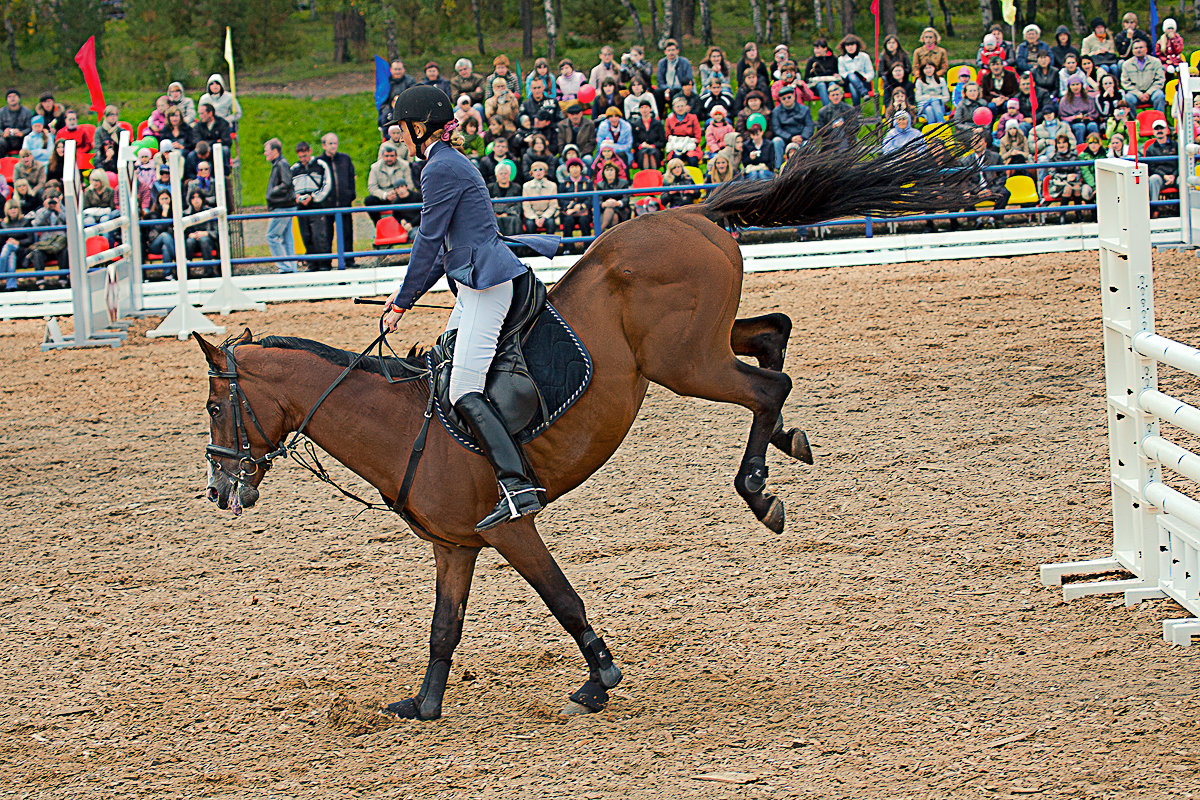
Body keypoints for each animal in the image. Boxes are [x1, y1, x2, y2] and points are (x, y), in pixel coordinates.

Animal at [196, 134, 979, 724]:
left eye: (211, 407)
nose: (218, 489)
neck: (400, 422)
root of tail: (692, 215)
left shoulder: (509, 527)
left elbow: (561, 596)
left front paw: (599, 679)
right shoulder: (456, 545)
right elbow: (444, 627)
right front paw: (423, 705)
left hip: (683, 363)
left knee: (768, 385)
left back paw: (760, 488)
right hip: (699, 347)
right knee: (774, 335)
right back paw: (788, 442)